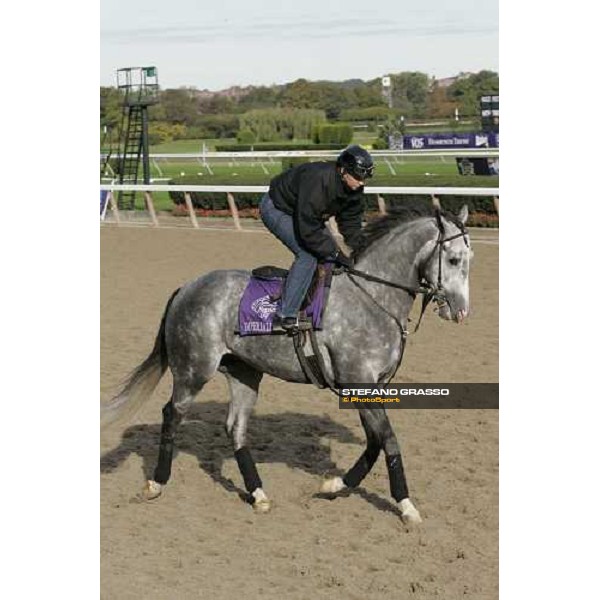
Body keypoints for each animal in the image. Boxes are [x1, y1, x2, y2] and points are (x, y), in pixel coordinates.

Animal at [103, 204, 474, 524]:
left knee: (235, 427)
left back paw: (258, 494)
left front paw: (334, 485)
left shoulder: (368, 386)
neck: (372, 298)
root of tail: (186, 288)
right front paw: (406, 505)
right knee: (172, 414)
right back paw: (156, 482)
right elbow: (389, 440)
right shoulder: (359, 381)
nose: (461, 311)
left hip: (244, 373)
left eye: (471, 258)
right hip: (194, 369)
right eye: (454, 259)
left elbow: (374, 441)